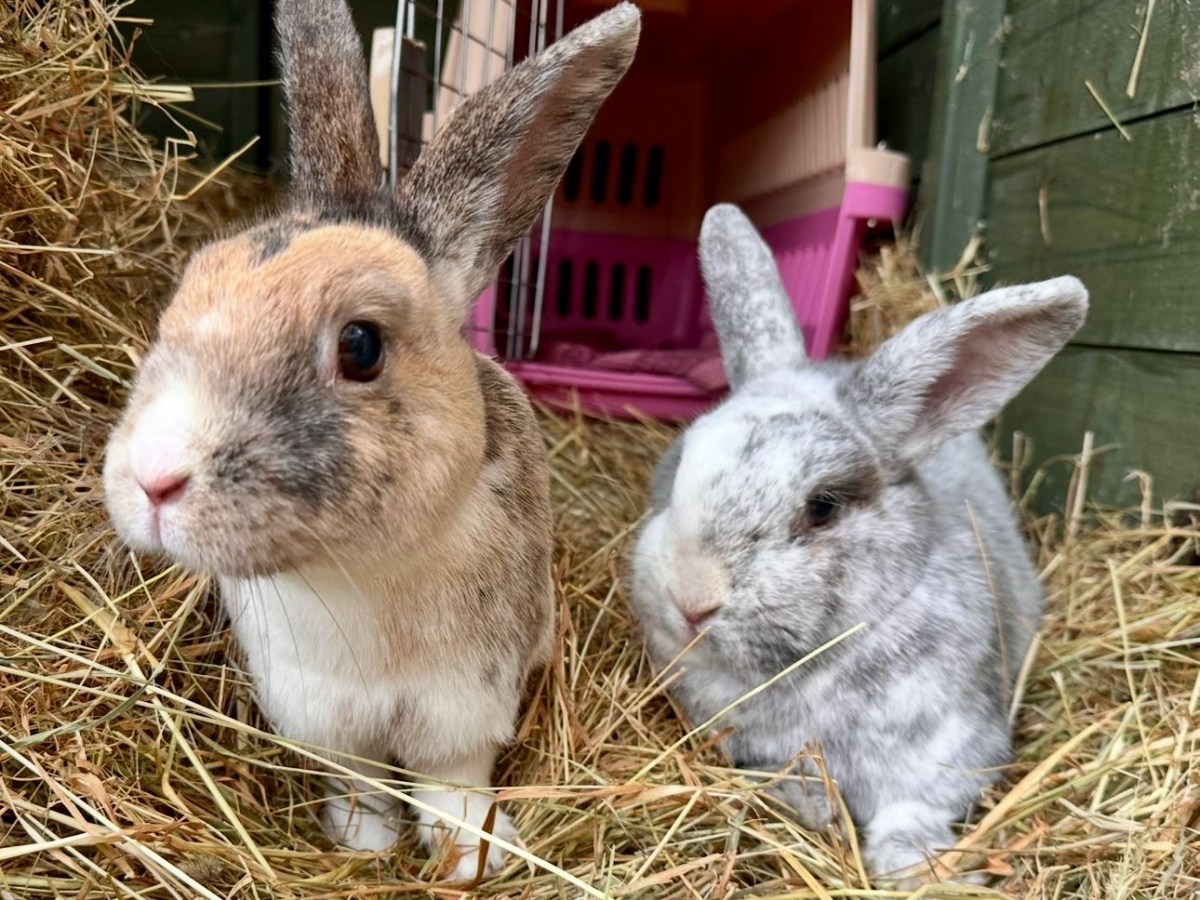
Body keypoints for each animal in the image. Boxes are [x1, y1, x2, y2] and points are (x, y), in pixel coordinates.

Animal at [102, 0, 640, 881]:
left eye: (360, 345)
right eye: (184, 296)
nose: (153, 477)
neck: (355, 569)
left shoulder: (462, 707)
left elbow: (452, 785)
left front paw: (470, 859)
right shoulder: (322, 711)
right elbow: (357, 778)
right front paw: (364, 840)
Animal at [631, 204, 1087, 886]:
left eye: (822, 506)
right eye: (679, 461)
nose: (690, 599)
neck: (803, 669)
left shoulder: (947, 756)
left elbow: (911, 813)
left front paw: (923, 873)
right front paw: (812, 804)